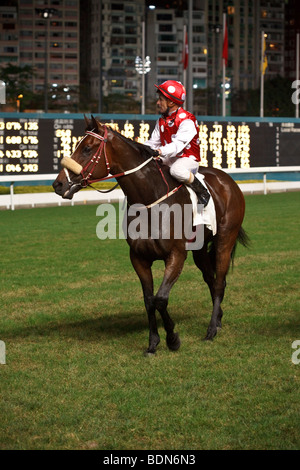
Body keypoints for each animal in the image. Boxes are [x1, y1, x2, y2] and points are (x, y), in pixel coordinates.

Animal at [52, 115, 250, 354]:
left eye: (88, 148)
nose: (58, 184)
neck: (150, 200)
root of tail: (227, 180)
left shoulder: (176, 255)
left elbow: (161, 299)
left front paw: (172, 338)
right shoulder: (139, 258)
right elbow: (149, 300)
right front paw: (153, 342)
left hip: (224, 240)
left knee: (220, 281)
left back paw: (211, 330)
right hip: (200, 249)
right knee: (211, 280)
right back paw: (218, 320)